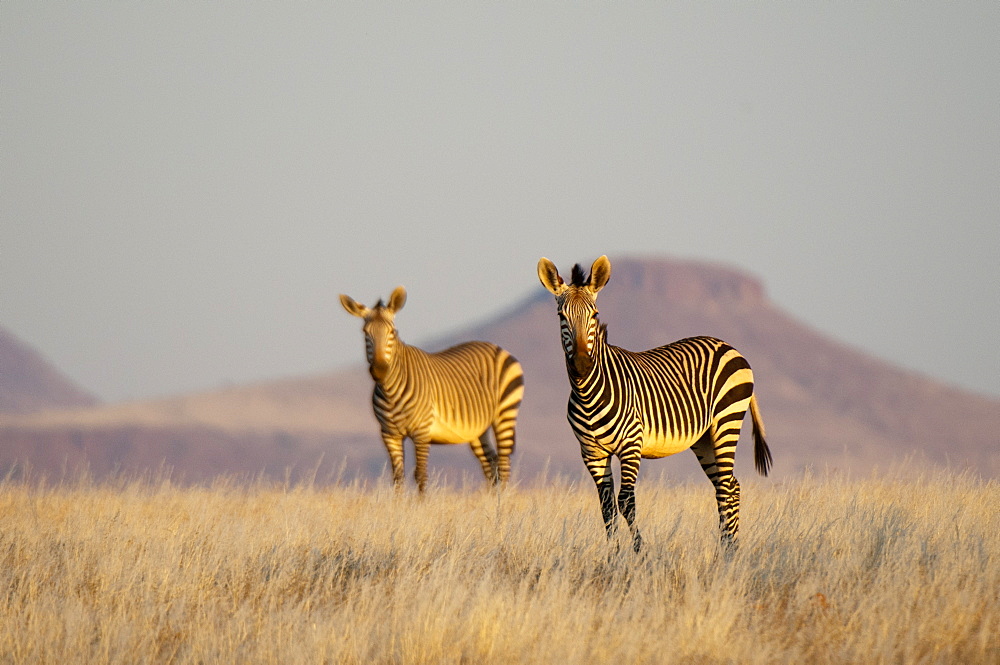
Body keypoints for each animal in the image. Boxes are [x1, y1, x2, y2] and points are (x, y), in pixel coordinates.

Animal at [342, 286, 528, 492]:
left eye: (392, 332)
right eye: (365, 332)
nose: (379, 370)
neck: (390, 391)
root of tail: (496, 347)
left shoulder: (422, 432)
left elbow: (420, 475)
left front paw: (421, 502)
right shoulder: (389, 434)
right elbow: (398, 477)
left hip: (505, 413)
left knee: (503, 463)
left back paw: (503, 498)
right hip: (477, 428)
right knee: (491, 463)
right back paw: (491, 498)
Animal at [540, 255, 772, 548]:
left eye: (594, 315)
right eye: (562, 316)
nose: (582, 365)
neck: (588, 394)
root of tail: (728, 345)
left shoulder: (631, 444)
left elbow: (626, 502)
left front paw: (641, 552)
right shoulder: (592, 453)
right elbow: (607, 507)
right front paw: (613, 555)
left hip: (726, 422)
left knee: (727, 488)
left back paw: (729, 549)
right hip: (704, 438)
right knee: (728, 486)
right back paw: (727, 548)